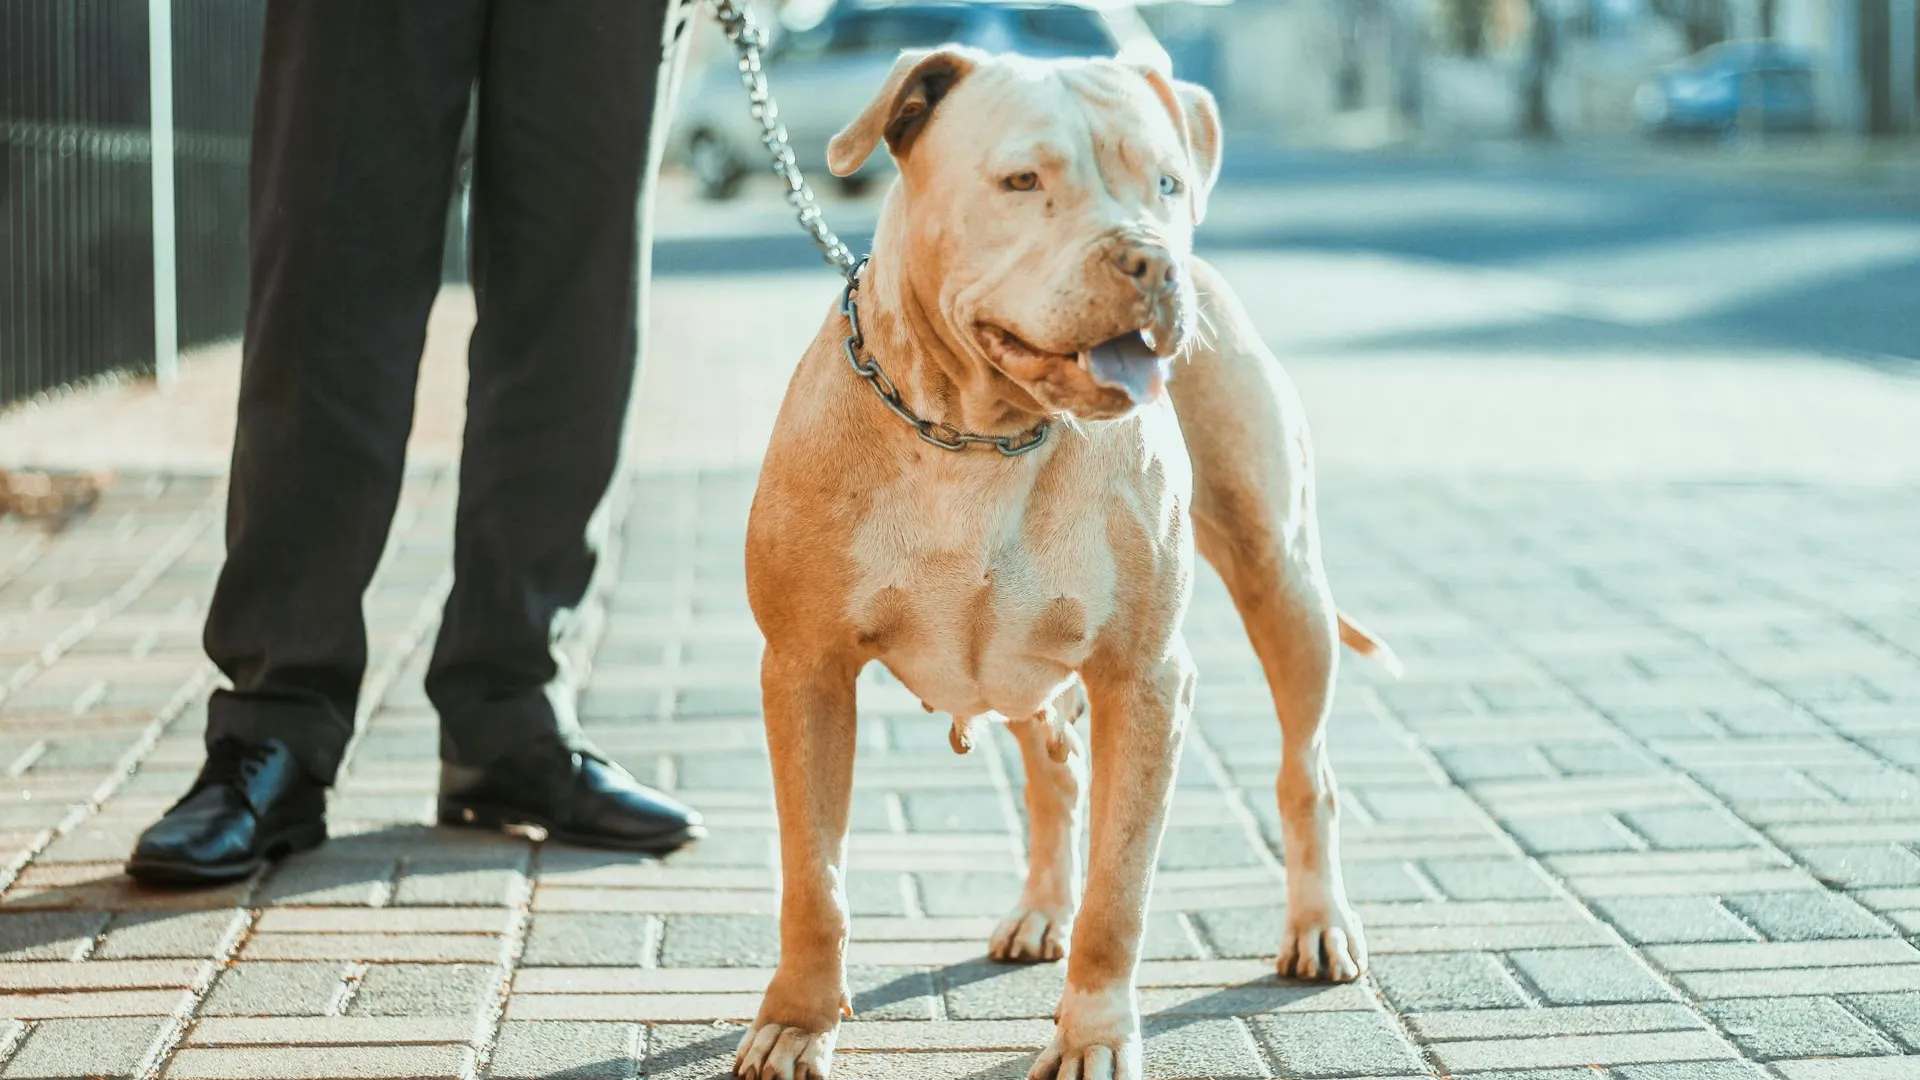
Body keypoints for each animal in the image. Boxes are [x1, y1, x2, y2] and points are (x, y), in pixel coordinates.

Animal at [737, 46, 1397, 1068]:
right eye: (1022, 181)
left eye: (1166, 182)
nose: (1153, 258)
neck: (976, 433)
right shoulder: (805, 669)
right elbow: (815, 879)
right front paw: (797, 1020)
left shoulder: (1145, 677)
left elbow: (1119, 892)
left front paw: (1094, 1034)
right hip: (1019, 664)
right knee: (1056, 767)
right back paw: (1041, 910)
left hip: (1280, 579)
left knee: (1306, 771)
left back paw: (1318, 922)